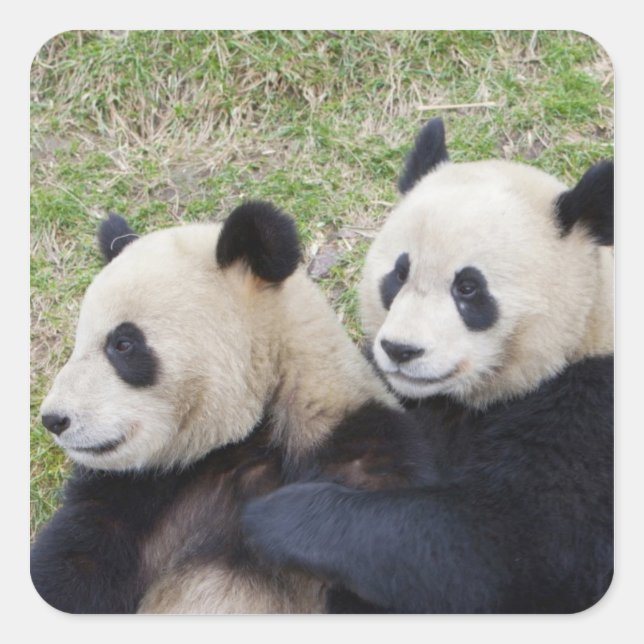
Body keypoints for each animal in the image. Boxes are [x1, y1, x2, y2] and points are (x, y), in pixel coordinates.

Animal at [31, 201, 430, 614]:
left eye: (123, 344)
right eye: (79, 341)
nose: (54, 419)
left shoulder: (359, 456)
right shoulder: (134, 495)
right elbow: (71, 566)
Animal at [240, 119, 614, 613]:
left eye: (469, 288)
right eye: (399, 274)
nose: (401, 350)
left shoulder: (588, 417)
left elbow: (509, 547)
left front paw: (277, 517)